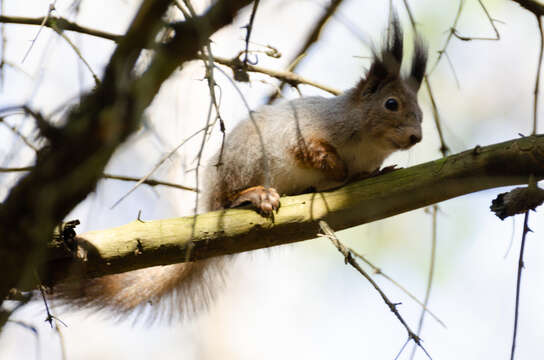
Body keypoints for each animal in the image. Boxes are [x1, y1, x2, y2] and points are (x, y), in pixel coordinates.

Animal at [52, 15, 424, 322]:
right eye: (391, 104)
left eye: (420, 112)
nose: (416, 137)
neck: (367, 143)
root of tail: (208, 198)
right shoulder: (304, 131)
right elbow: (310, 152)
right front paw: (335, 168)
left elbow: (362, 174)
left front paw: (377, 173)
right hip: (246, 160)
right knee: (229, 199)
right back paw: (254, 195)